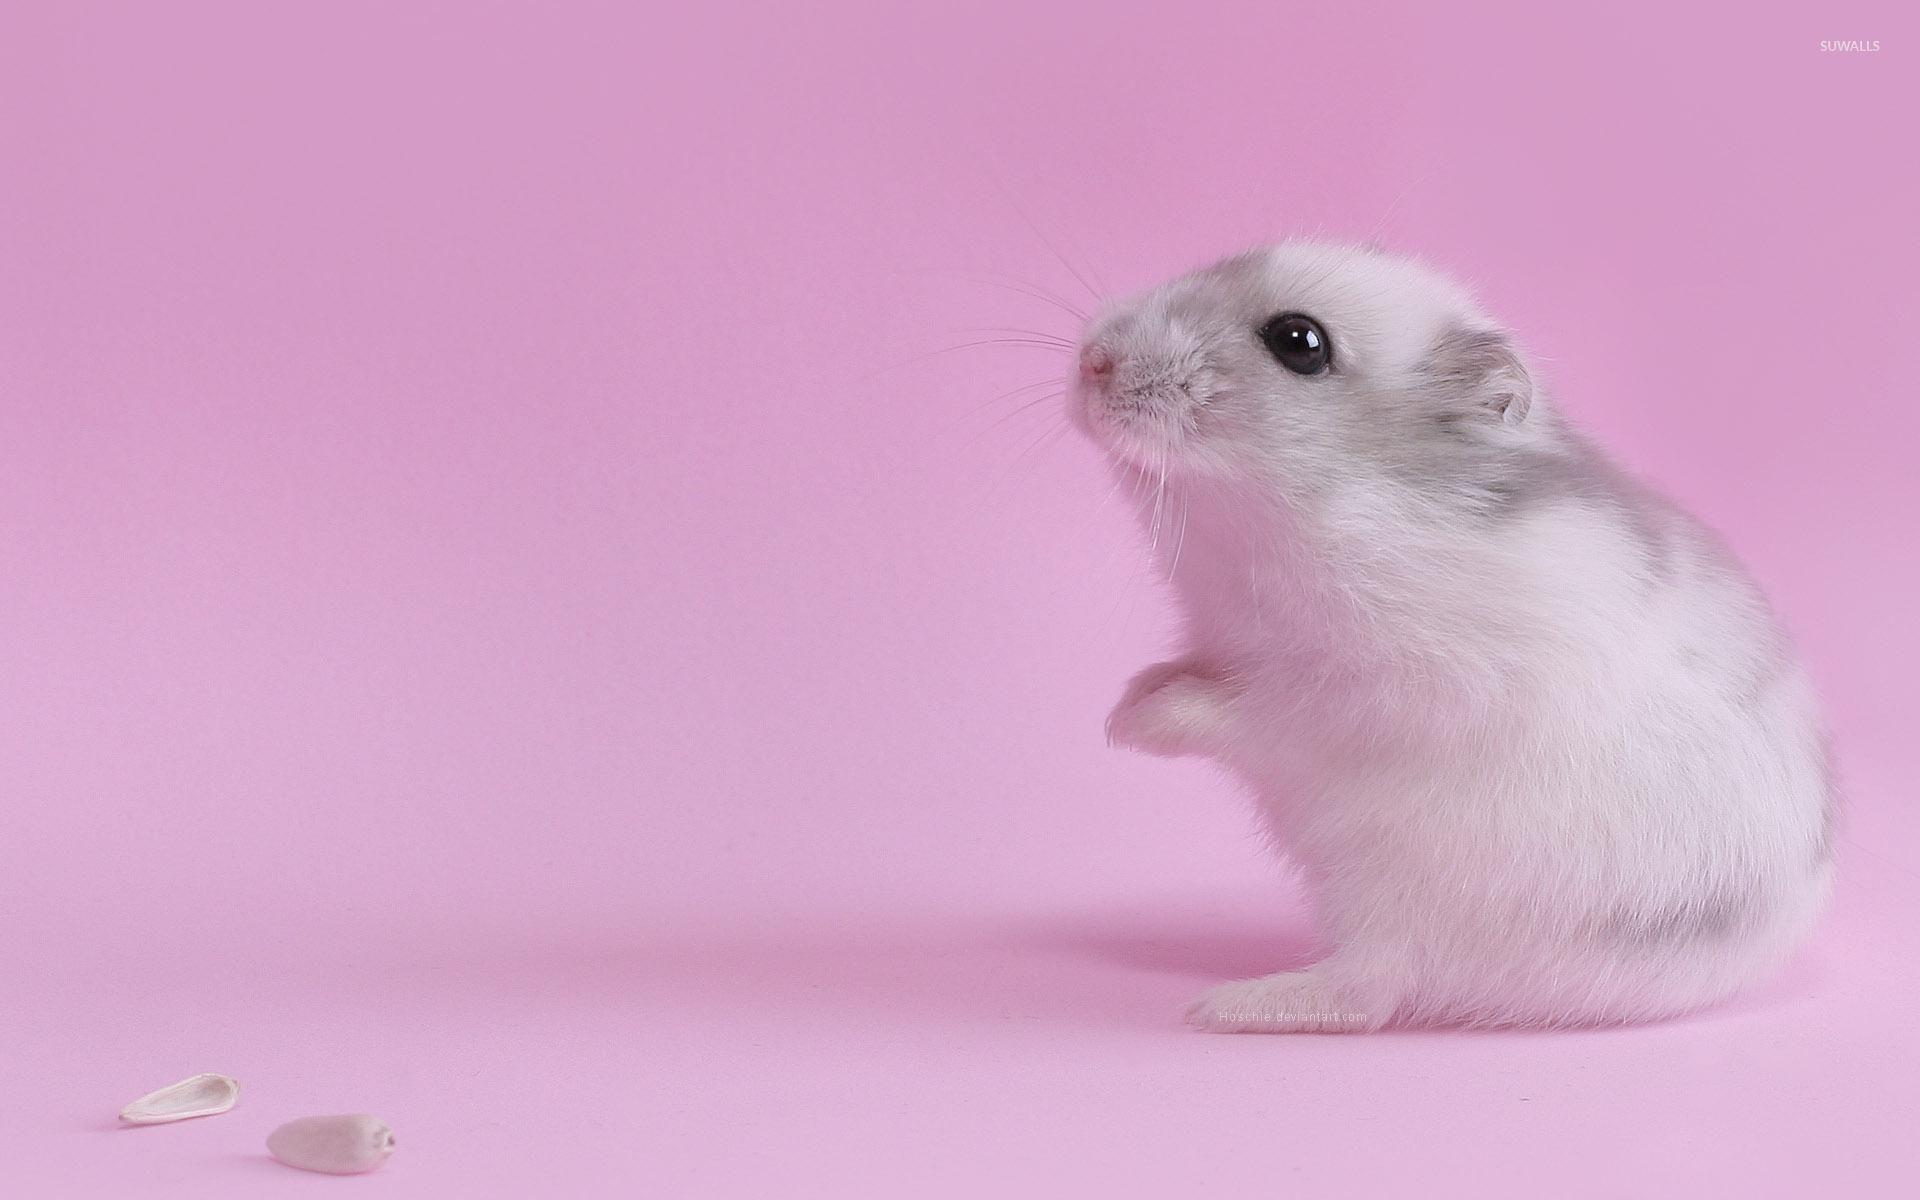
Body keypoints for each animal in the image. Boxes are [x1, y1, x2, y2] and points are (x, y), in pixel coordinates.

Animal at [1071, 242, 1834, 1031]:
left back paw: (1222, 1006)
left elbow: (1246, 709)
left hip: (1409, 907)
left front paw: (1129, 727)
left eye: (1299, 342)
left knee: (1369, 992)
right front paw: (1124, 702)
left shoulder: (1368, 692)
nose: (1091, 360)